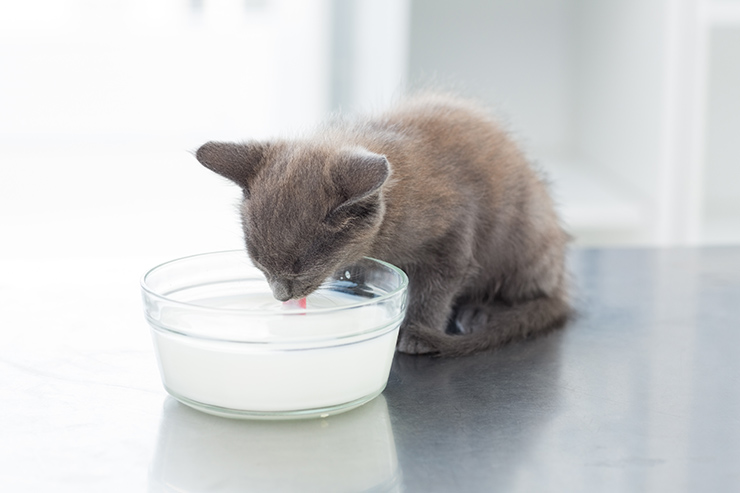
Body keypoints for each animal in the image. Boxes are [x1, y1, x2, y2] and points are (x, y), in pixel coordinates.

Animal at [194, 92, 568, 356]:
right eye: (259, 266)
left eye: (299, 271)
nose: (280, 295)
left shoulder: (453, 234)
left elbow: (435, 289)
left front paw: (416, 333)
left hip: (523, 235)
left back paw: (482, 311)